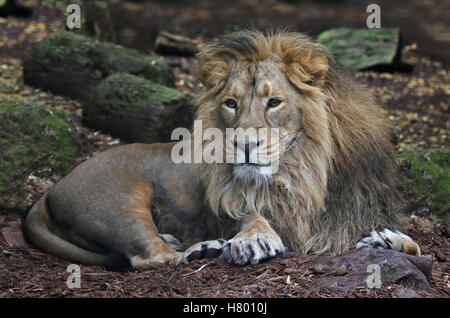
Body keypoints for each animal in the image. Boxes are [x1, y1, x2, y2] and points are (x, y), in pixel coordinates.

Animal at [24, 28, 420, 270]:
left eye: (274, 102)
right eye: (231, 103)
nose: (243, 145)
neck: (304, 170)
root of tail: (48, 193)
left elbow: (415, 245)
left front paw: (388, 240)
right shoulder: (237, 204)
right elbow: (250, 215)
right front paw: (254, 239)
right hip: (121, 202)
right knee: (152, 257)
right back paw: (205, 247)